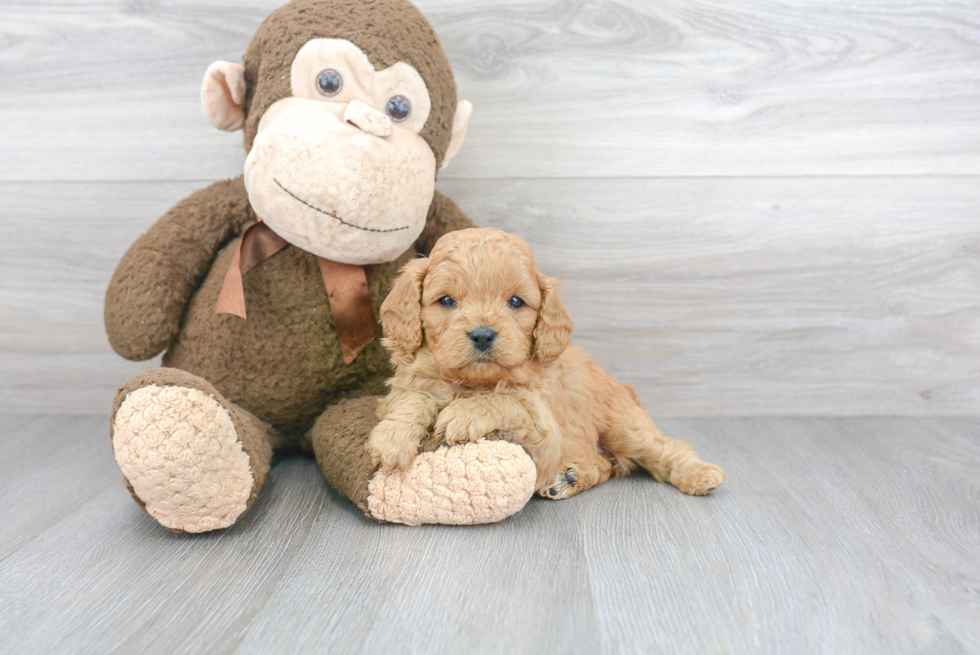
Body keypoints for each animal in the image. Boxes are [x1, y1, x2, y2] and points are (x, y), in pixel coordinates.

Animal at [364, 228, 724, 500]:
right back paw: (570, 478)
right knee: (605, 465)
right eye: (447, 300)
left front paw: (465, 413)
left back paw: (701, 473)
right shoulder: (409, 385)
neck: (475, 381)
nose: (482, 335)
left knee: (663, 447)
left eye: (515, 302)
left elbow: (506, 402)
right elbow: (412, 399)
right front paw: (393, 438)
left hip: (624, 426)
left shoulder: (545, 433)